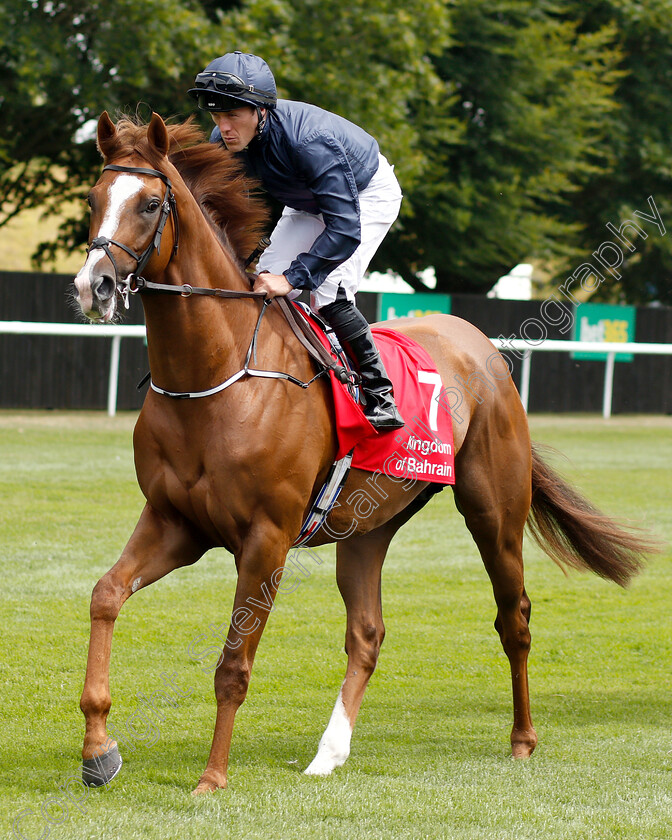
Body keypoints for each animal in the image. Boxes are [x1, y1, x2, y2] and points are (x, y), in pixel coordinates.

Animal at [75, 113, 652, 796]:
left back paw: (522, 740)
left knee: (514, 618)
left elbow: (233, 663)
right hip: (367, 524)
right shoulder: (175, 523)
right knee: (368, 633)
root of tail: (481, 343)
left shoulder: (266, 538)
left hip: (493, 512)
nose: (92, 286)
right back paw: (329, 752)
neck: (216, 377)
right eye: (94, 199)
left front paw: (212, 778)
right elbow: (106, 595)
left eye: (150, 203)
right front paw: (98, 749)